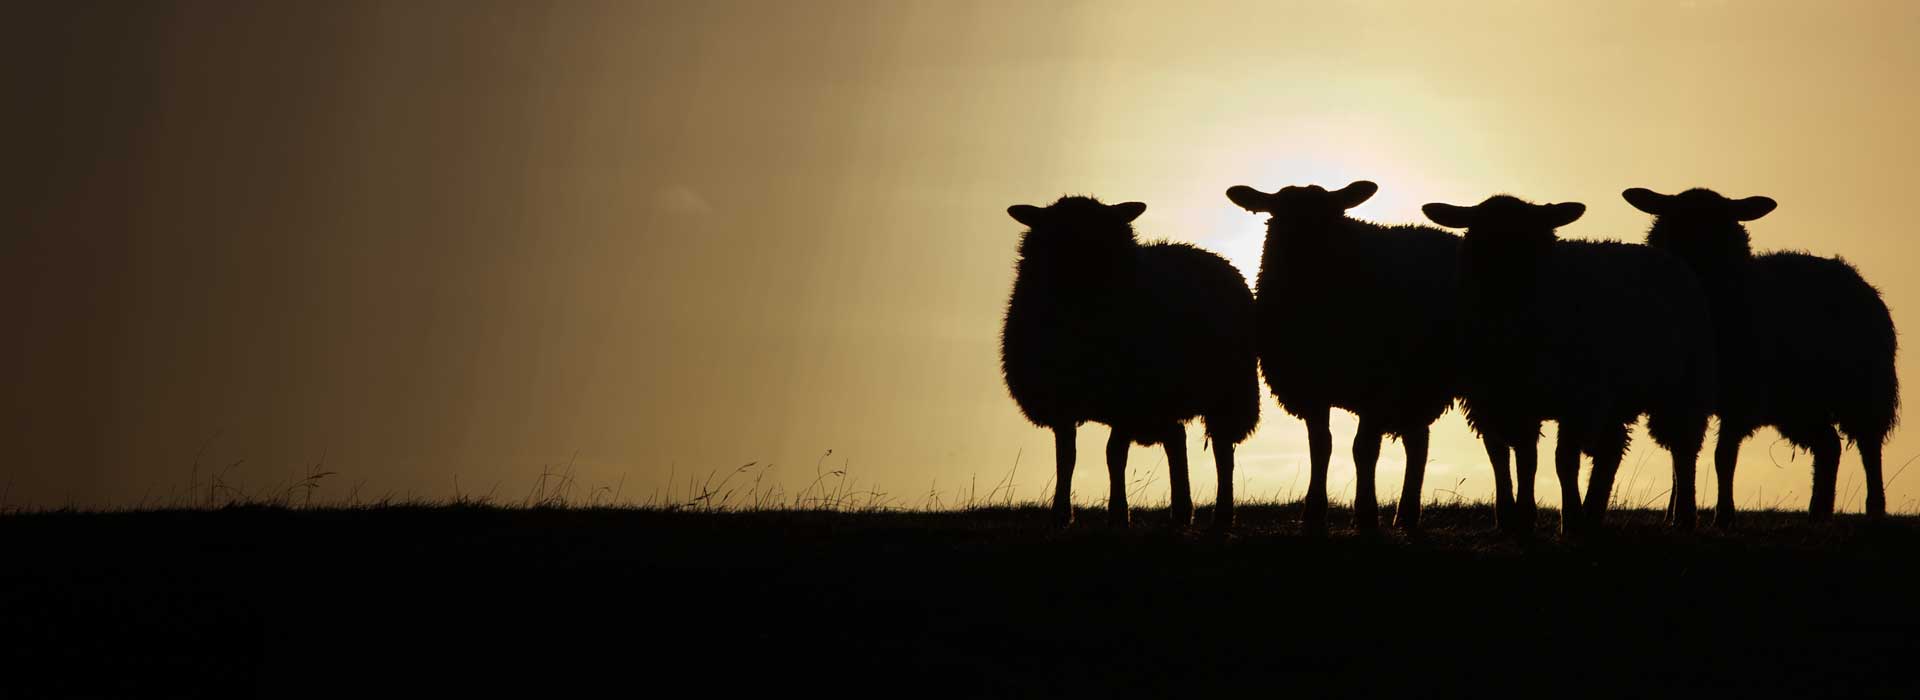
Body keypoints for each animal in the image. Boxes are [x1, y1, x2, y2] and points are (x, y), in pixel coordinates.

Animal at [1001, 196, 1260, 529]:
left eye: (1103, 234)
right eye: (1056, 233)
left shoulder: (1127, 401)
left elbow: (1114, 455)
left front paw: (1117, 515)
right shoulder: (1062, 403)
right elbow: (1066, 458)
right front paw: (1060, 515)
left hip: (1227, 391)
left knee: (1221, 449)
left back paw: (1222, 516)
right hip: (1164, 399)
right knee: (1176, 439)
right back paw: (1180, 512)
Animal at [1226, 181, 1482, 532]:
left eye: (1332, 215)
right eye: (1279, 214)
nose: (1308, 250)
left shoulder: (1378, 385)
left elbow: (1364, 449)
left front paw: (1365, 515)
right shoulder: (1312, 388)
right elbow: (1321, 446)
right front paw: (1313, 513)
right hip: (1417, 383)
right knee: (1417, 441)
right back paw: (1406, 515)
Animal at [1423, 195, 1716, 533]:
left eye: (1533, 243)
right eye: (1479, 241)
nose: (1505, 288)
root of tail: (1672, 261)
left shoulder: (1576, 400)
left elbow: (1562, 461)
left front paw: (1568, 520)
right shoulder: (1493, 400)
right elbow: (1509, 456)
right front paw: (1513, 518)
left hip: (1684, 388)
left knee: (1684, 451)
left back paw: (1682, 517)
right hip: (1615, 398)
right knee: (1611, 451)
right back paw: (1594, 514)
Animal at [1624, 187, 1900, 524]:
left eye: (1722, 227)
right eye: (1675, 224)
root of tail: (1855, 277)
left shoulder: (1740, 397)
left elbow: (1723, 457)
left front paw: (1723, 516)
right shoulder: (1682, 397)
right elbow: (1681, 456)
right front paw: (1676, 515)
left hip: (1864, 391)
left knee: (1869, 447)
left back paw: (1874, 510)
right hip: (1800, 401)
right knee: (1829, 447)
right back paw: (1818, 513)